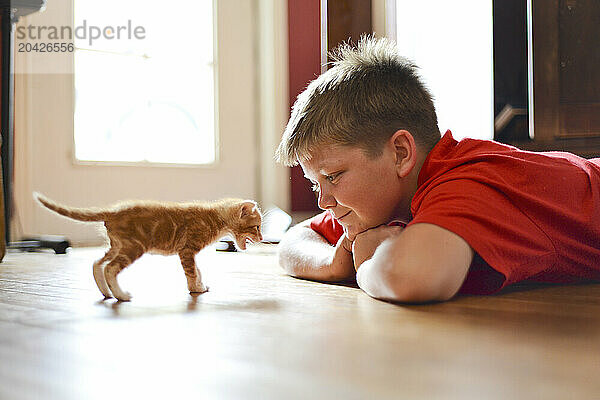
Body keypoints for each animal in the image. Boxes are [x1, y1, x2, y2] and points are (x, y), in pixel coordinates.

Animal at [34, 193, 262, 300]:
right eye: (257, 226)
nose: (261, 238)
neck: (215, 217)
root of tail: (114, 210)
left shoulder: (189, 252)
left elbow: (198, 270)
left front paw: (200, 286)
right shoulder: (187, 250)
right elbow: (192, 271)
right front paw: (195, 289)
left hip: (117, 245)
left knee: (97, 262)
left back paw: (107, 292)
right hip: (133, 247)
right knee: (110, 268)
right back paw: (121, 295)